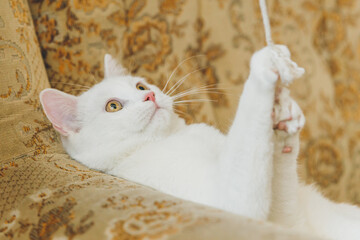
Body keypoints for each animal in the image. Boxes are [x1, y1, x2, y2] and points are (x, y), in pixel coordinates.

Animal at [40, 46, 360, 239]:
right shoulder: (231, 203)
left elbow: (282, 186)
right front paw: (262, 67)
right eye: (113, 106)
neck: (172, 136)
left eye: (140, 86)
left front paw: (284, 122)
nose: (150, 95)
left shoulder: (286, 216)